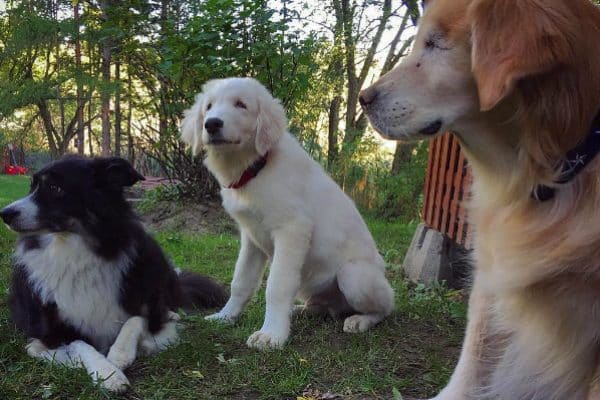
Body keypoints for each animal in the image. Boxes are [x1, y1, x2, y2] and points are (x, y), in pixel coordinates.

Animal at [1, 156, 226, 390]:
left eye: (55, 188)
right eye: (32, 186)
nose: (5, 214)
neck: (77, 251)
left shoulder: (145, 307)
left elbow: (136, 319)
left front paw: (120, 354)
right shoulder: (51, 332)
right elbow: (80, 344)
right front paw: (108, 373)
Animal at [179, 78, 394, 350]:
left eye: (241, 104)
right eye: (208, 107)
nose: (212, 123)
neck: (256, 168)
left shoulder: (292, 230)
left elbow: (277, 286)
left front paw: (271, 334)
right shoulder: (251, 237)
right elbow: (241, 281)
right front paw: (226, 316)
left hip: (354, 276)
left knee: (385, 308)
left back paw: (360, 320)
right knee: (323, 306)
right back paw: (302, 310)